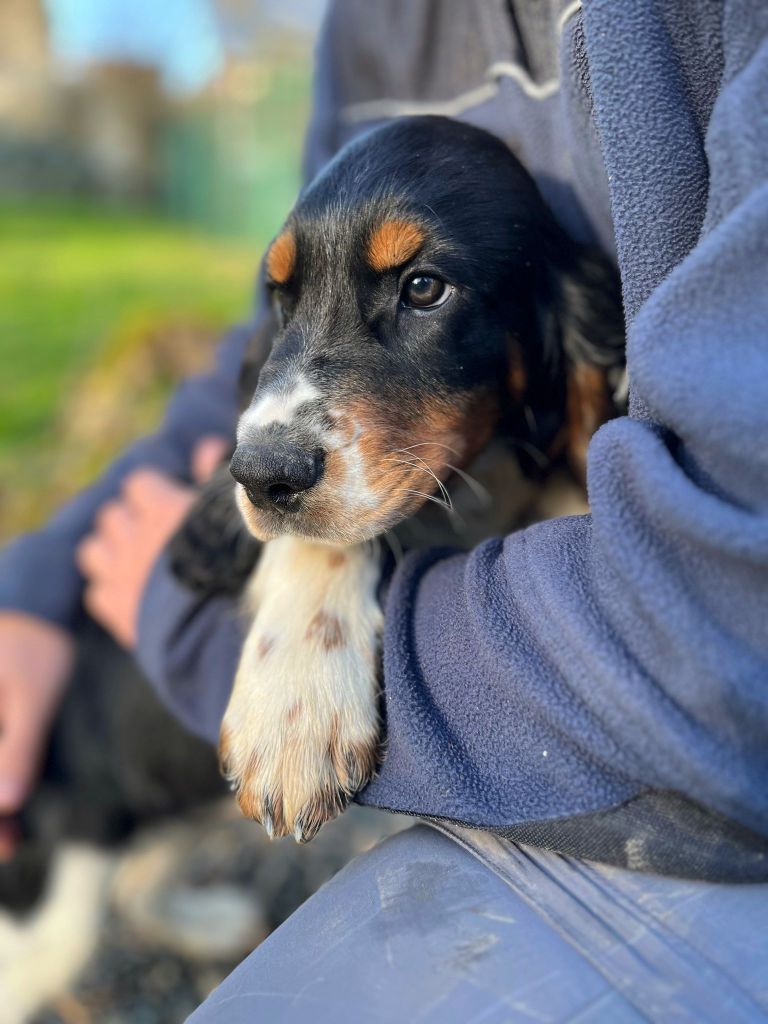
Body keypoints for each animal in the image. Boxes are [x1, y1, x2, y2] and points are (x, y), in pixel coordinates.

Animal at [171, 116, 626, 843]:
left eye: (422, 289)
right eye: (281, 299)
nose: (261, 475)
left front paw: (295, 705)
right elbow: (328, 539)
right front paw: (293, 706)